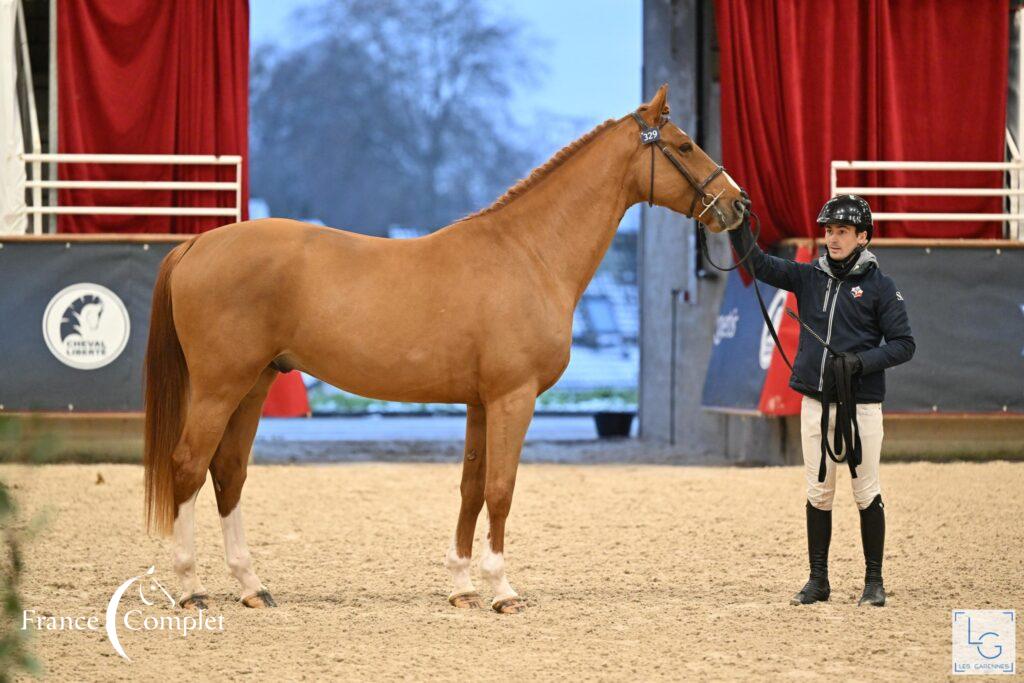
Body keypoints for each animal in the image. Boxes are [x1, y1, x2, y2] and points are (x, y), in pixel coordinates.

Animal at [142, 83, 745, 614]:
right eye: (685, 145)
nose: (738, 205)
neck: (529, 253)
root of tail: (196, 244)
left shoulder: (481, 402)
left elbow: (470, 489)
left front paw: (462, 588)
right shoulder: (513, 398)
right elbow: (501, 489)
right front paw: (502, 591)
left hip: (257, 382)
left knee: (229, 471)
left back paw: (252, 587)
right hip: (221, 386)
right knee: (189, 466)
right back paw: (191, 588)